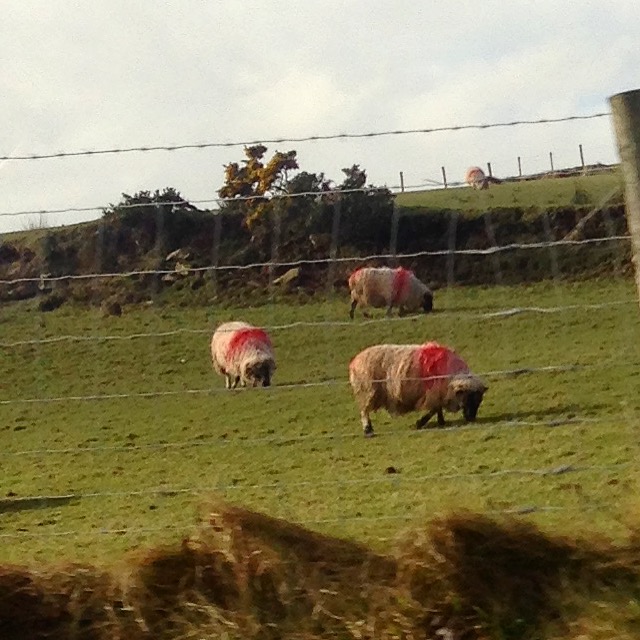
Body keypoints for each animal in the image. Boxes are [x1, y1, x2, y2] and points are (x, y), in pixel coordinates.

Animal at [348, 341, 487, 437]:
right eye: (467, 398)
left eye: (479, 401)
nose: (471, 418)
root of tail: (355, 361)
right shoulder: (433, 393)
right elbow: (434, 409)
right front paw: (421, 422)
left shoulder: (438, 393)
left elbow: (438, 408)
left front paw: (441, 421)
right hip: (368, 391)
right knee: (364, 411)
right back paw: (368, 429)